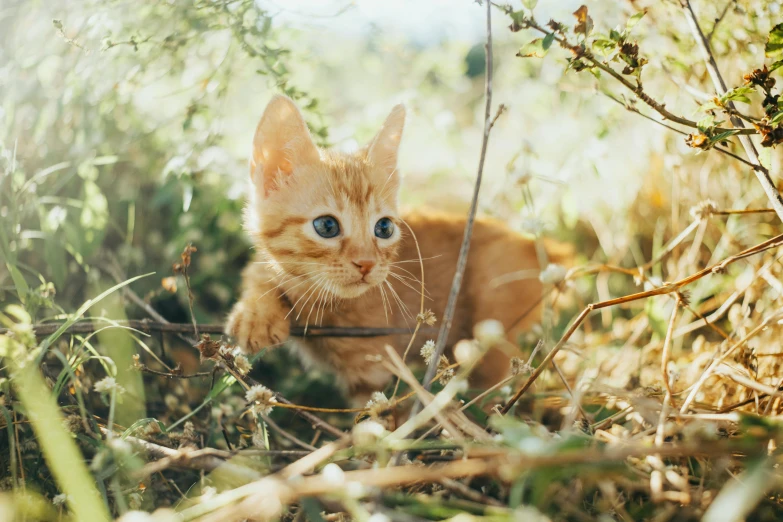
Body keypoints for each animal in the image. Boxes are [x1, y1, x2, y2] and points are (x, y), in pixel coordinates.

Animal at [227, 94, 556, 402]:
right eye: (327, 226)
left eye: (383, 228)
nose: (367, 264)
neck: (322, 302)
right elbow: (259, 270)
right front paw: (256, 315)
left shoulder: (374, 372)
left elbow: (376, 418)